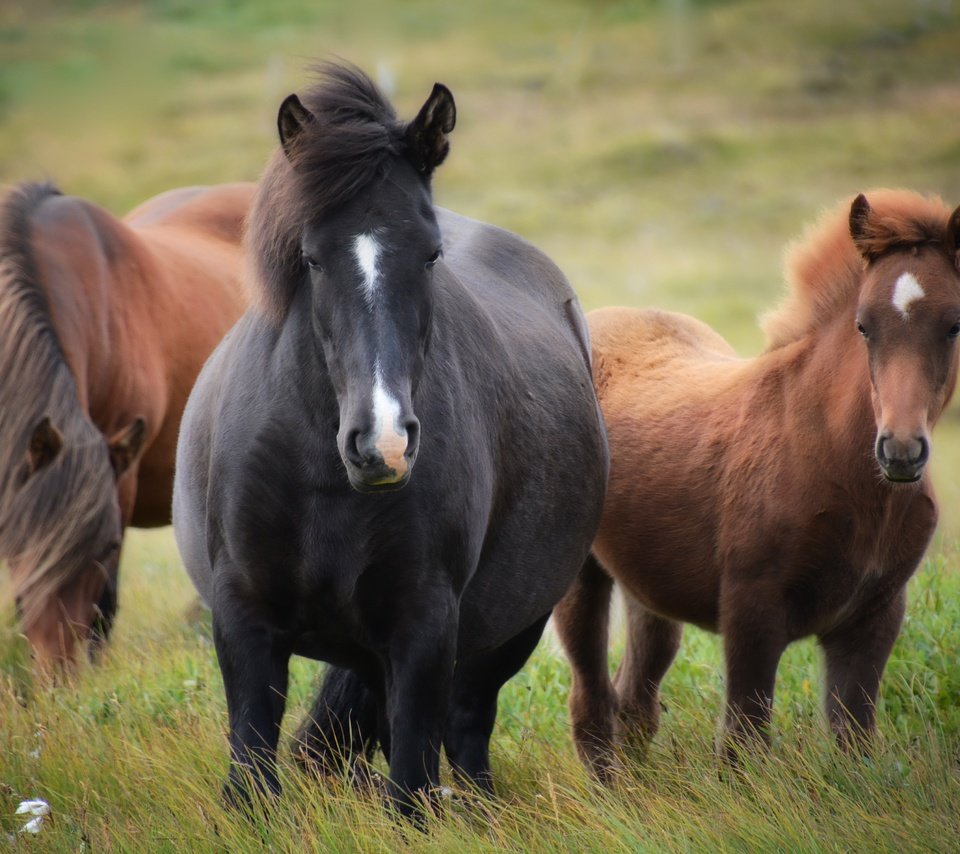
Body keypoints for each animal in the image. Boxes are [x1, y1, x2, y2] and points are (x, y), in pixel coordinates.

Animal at [172, 65, 608, 816]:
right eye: (311, 258)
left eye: (430, 255)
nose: (384, 444)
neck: (320, 476)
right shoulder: (243, 617)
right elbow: (252, 772)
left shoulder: (424, 625)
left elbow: (410, 785)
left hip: (510, 629)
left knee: (465, 729)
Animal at [556, 191, 960, 780]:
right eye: (863, 326)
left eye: (954, 326)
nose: (901, 452)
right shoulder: (751, 608)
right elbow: (742, 742)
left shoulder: (875, 616)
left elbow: (854, 741)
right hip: (579, 576)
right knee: (590, 701)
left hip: (648, 587)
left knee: (635, 698)